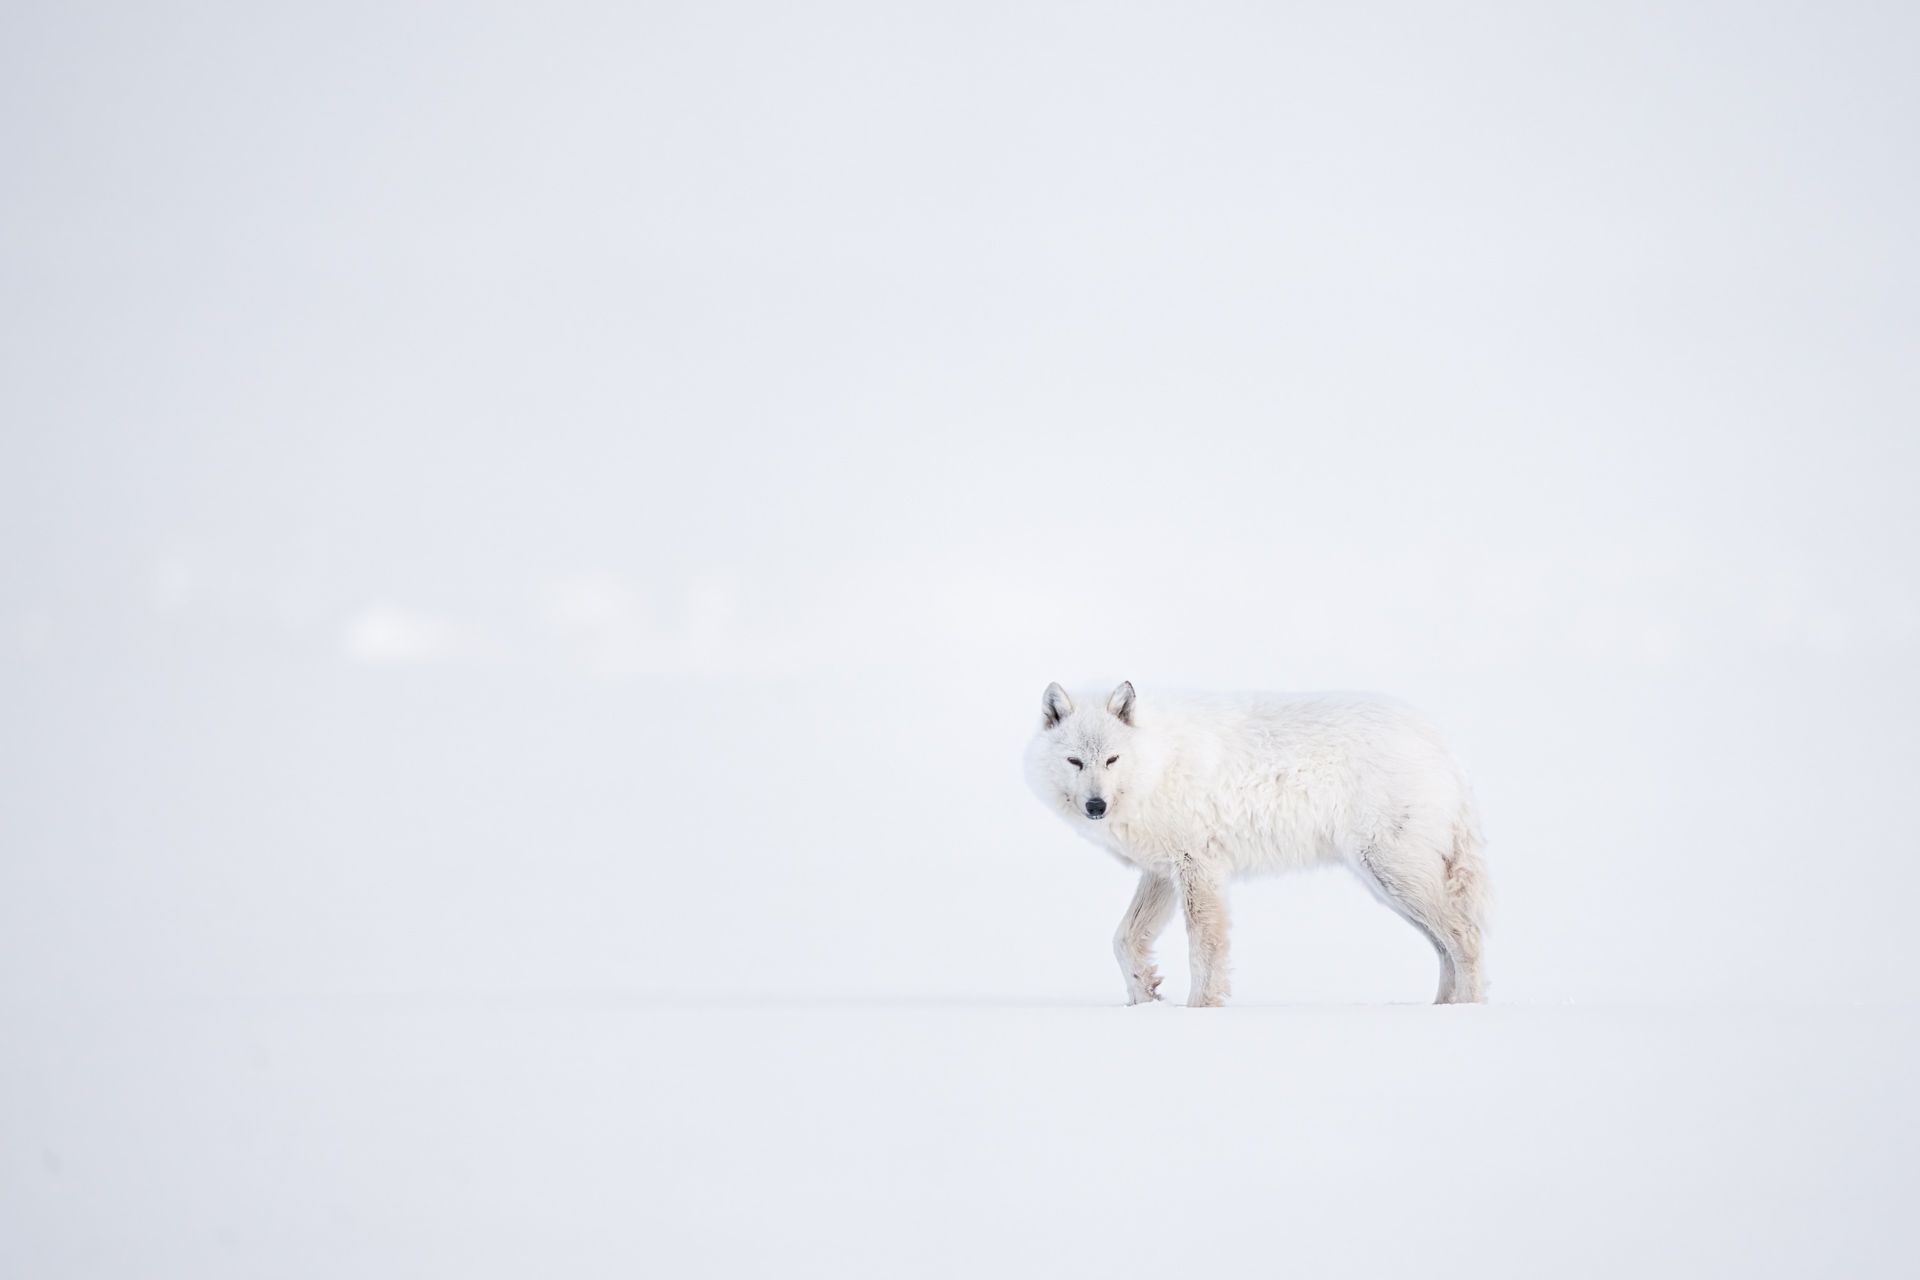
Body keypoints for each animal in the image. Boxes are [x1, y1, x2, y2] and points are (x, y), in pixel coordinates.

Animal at [1025, 681, 1489, 1007]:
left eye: (1111, 760)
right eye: (1075, 761)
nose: (1096, 806)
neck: (1156, 764)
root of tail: (1440, 742)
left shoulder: (1197, 867)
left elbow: (1204, 950)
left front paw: (1198, 1010)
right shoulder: (1161, 872)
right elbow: (1124, 941)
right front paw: (1145, 1000)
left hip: (1391, 874)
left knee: (1466, 935)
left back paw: (1467, 1011)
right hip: (1389, 887)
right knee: (1446, 946)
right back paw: (1441, 1009)